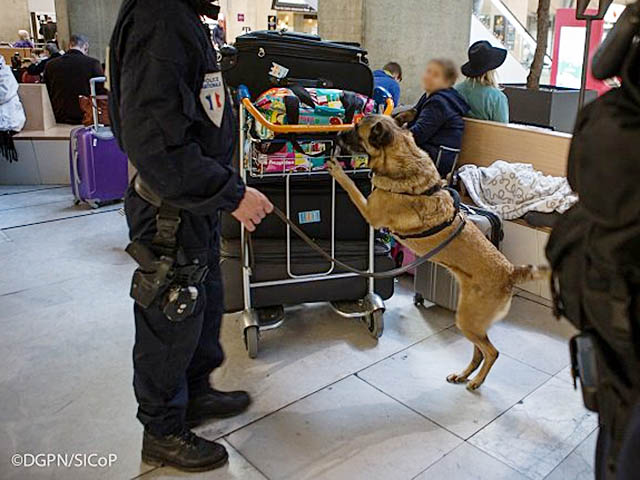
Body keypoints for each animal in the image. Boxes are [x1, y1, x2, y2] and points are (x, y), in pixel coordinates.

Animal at [328, 115, 548, 390]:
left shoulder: (370, 213)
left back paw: (476, 382)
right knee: (479, 351)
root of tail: (510, 271)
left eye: (357, 129)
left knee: (492, 352)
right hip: (470, 321)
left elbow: (351, 187)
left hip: (468, 321)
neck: (403, 157)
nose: (336, 135)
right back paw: (464, 375)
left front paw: (338, 171)